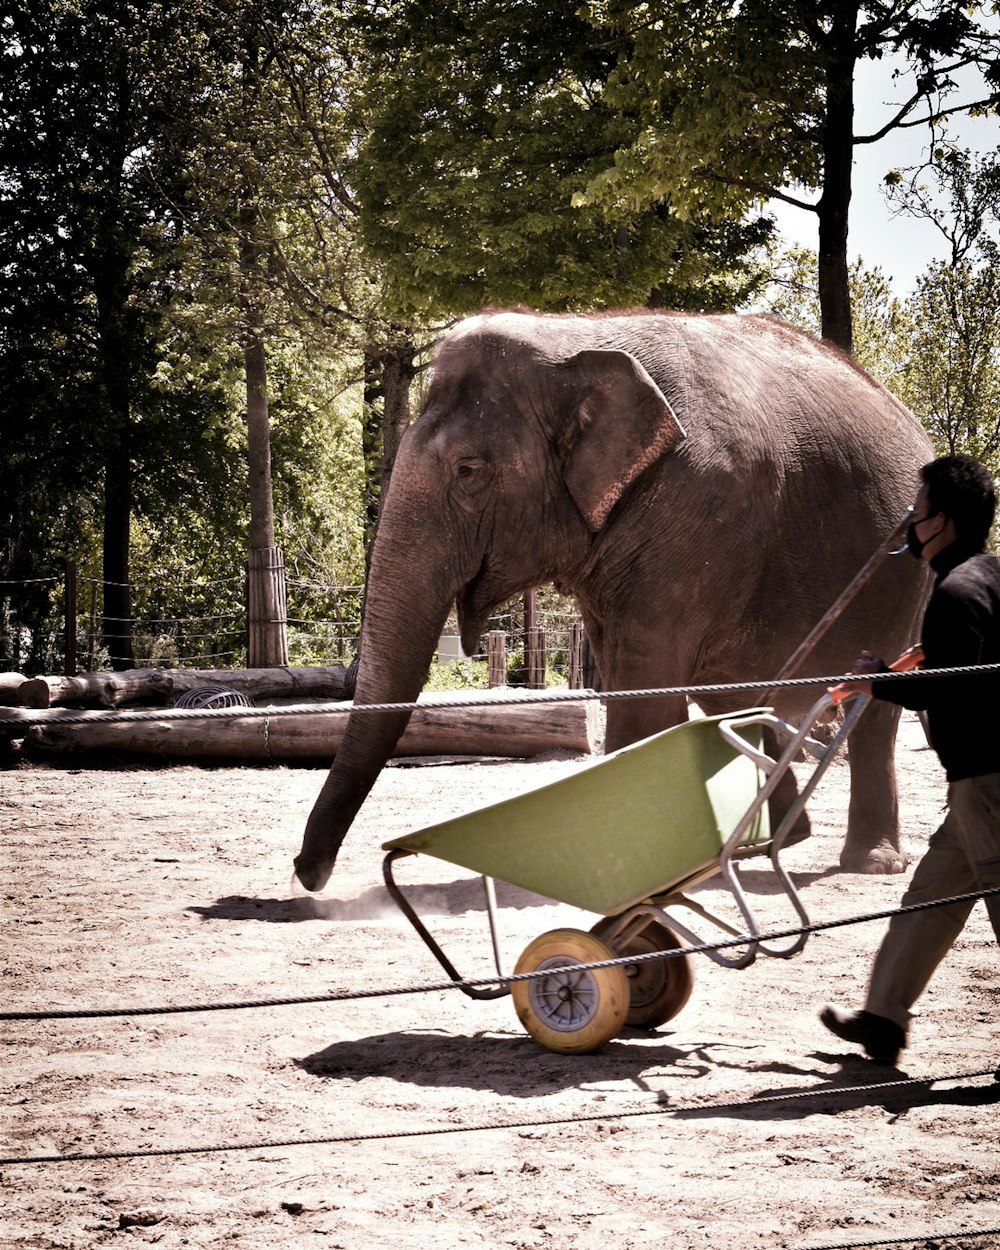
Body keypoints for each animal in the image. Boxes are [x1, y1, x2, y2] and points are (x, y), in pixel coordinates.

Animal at [292, 312, 935, 900]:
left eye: (468, 470)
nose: (309, 875)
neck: (574, 337)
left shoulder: (700, 511)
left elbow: (645, 692)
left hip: (907, 577)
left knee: (874, 709)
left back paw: (868, 862)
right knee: (733, 699)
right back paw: (776, 839)